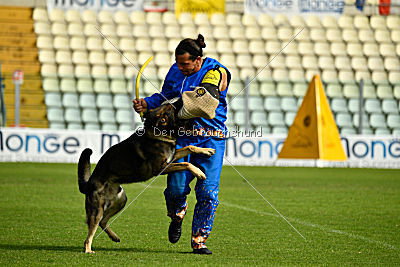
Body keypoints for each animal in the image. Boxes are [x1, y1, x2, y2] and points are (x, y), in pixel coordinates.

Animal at [78, 103, 216, 254]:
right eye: (172, 109)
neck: (158, 132)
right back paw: (88, 249)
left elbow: (190, 147)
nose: (180, 101)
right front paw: (199, 172)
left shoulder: (172, 158)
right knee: (91, 230)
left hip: (121, 200)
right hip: (97, 210)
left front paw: (206, 150)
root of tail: (89, 182)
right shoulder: (161, 169)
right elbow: (187, 163)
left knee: (103, 221)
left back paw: (114, 237)